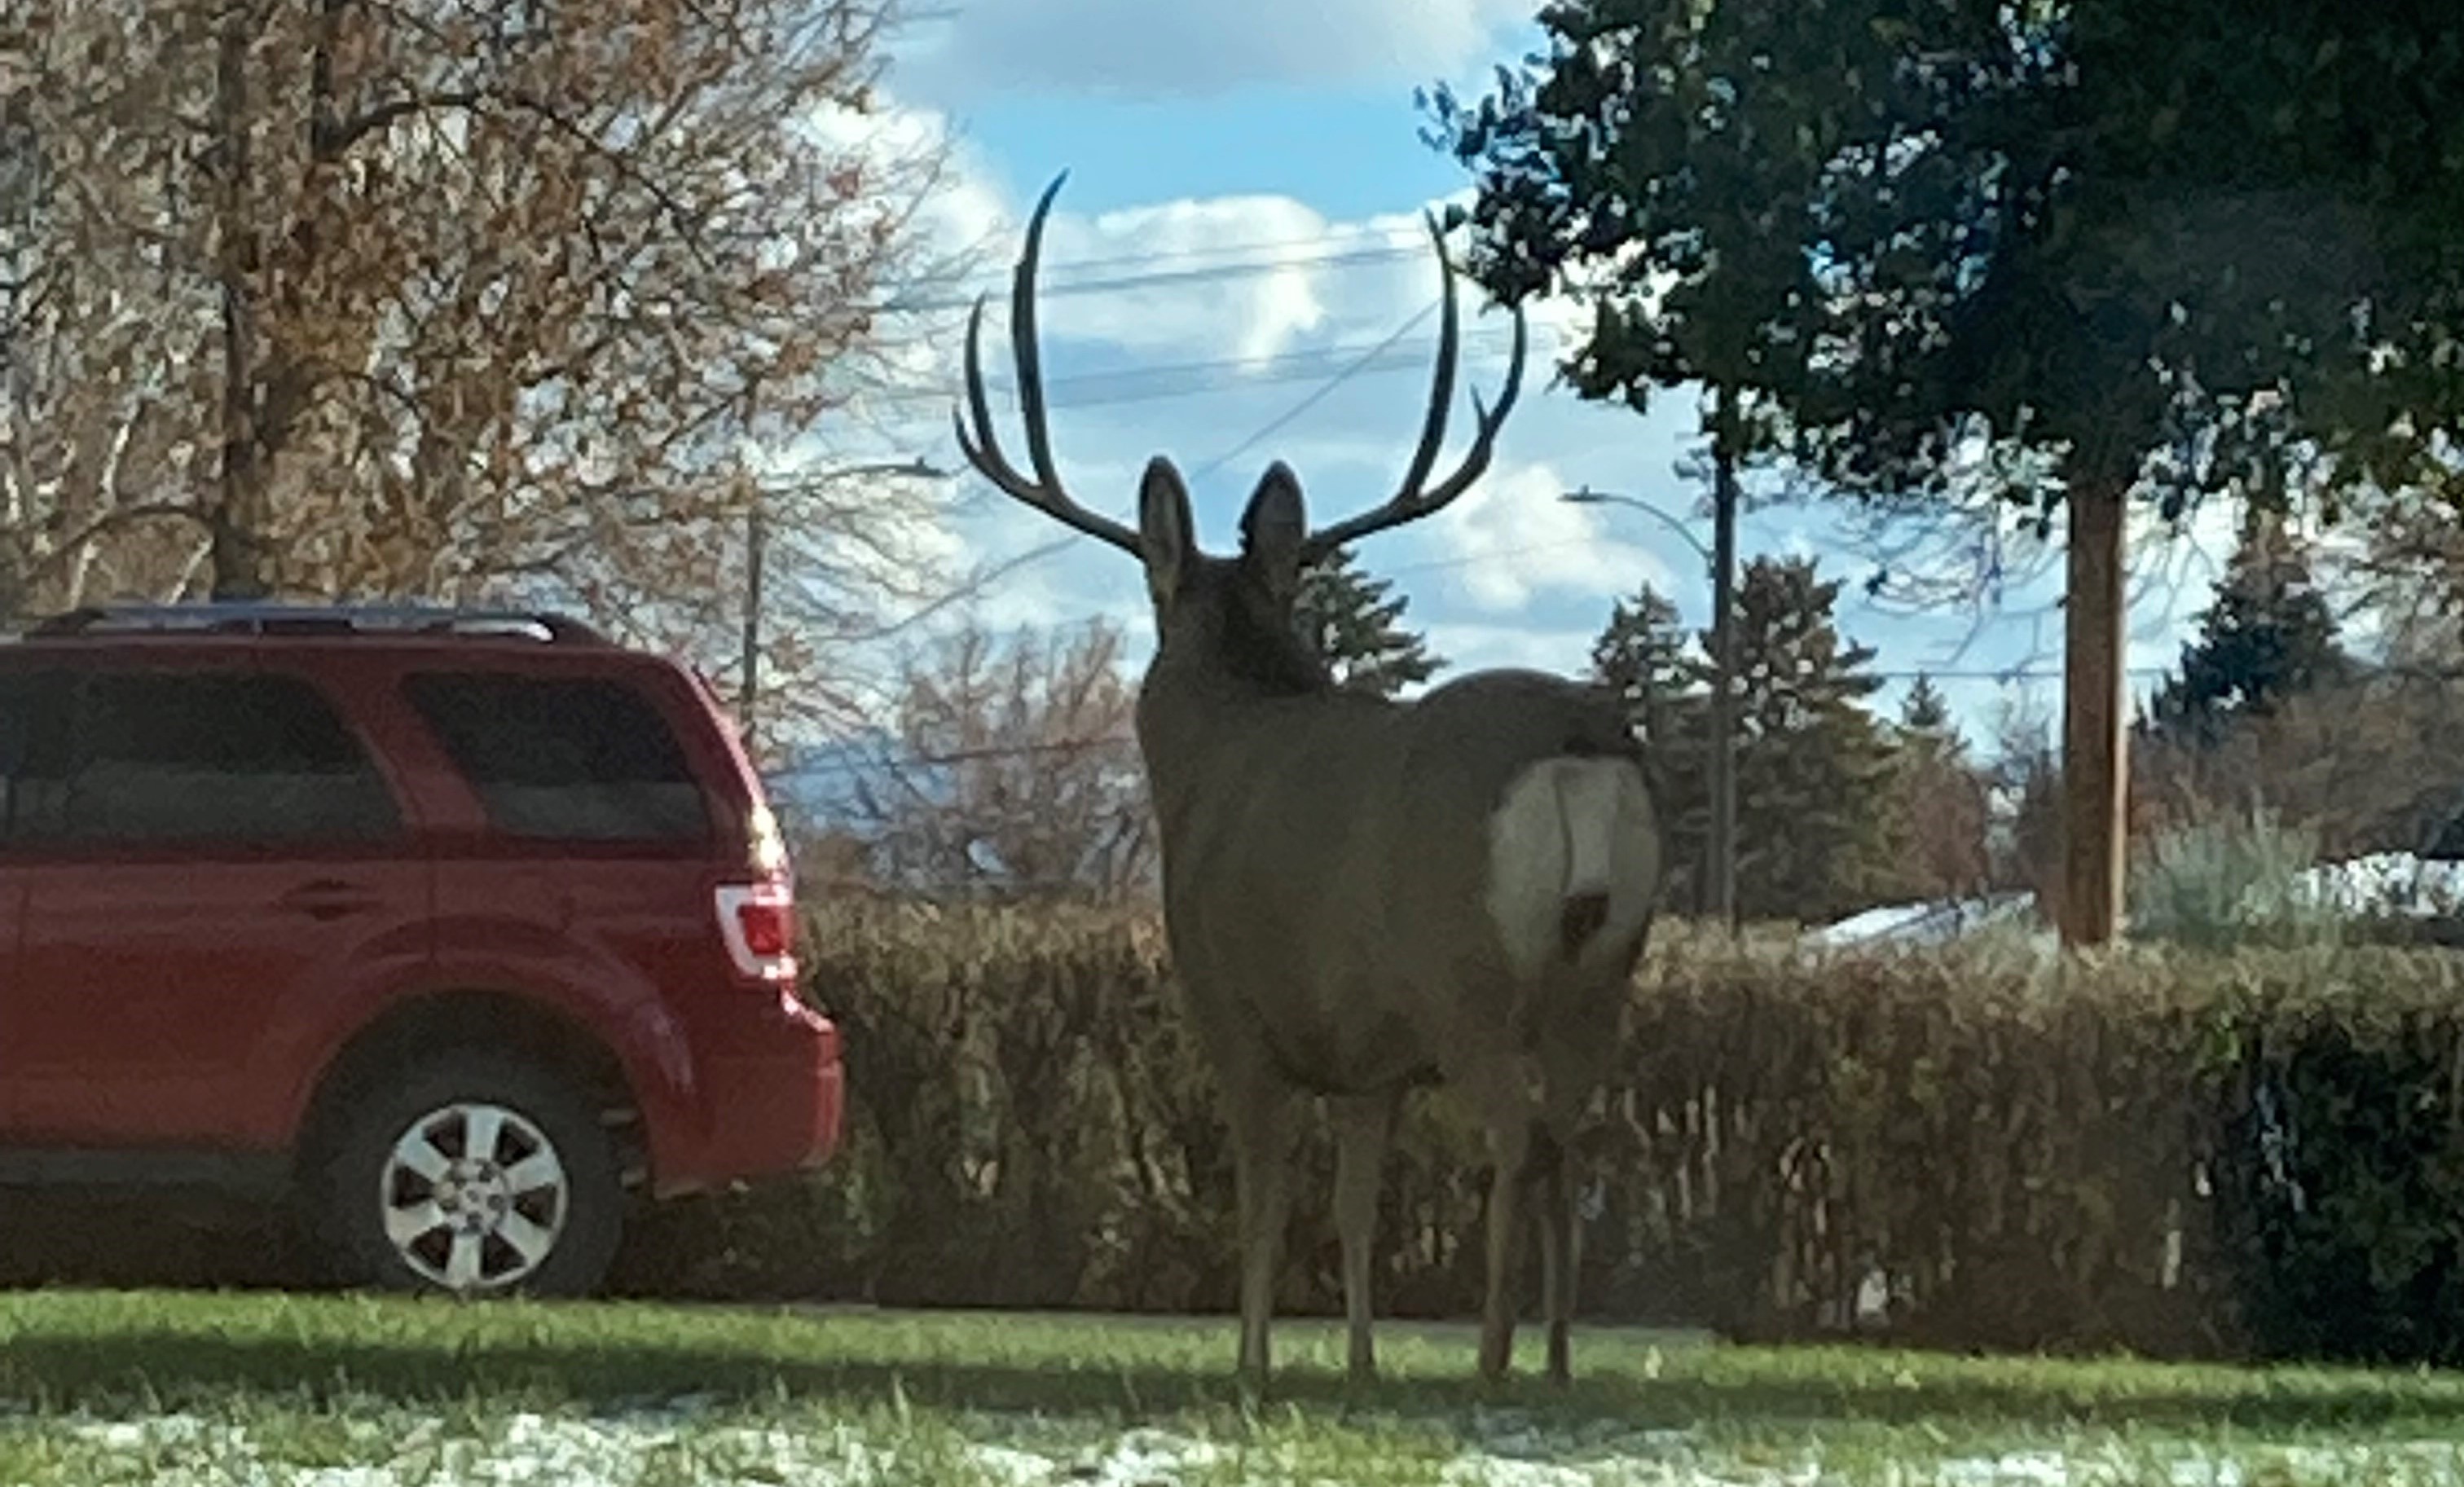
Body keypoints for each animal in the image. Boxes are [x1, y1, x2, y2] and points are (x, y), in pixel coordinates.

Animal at [951, 177, 1665, 1398]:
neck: (1214, 754)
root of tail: (1579, 744)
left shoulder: (1237, 1013)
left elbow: (1266, 1198)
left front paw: (1252, 1360)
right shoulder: (1366, 1053)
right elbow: (1356, 1204)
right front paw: (1362, 1361)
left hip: (1466, 970)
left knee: (1517, 1137)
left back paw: (1492, 1356)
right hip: (1602, 973)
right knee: (1574, 1139)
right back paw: (1560, 1360)